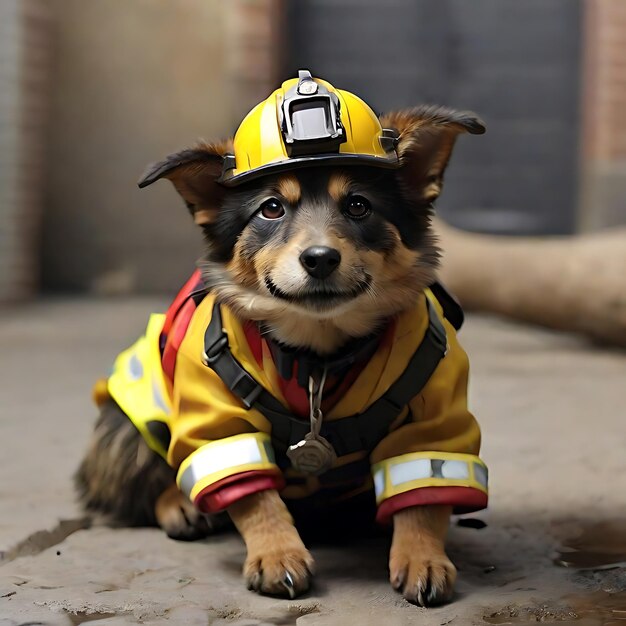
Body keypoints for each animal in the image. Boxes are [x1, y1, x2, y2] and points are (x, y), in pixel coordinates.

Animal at [75, 69, 488, 604]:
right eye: (271, 209)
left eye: (359, 205)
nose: (319, 258)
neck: (318, 356)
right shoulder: (217, 417)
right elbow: (254, 493)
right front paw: (276, 554)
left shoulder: (435, 414)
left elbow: (423, 493)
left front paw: (422, 556)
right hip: (128, 427)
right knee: (144, 481)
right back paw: (180, 505)